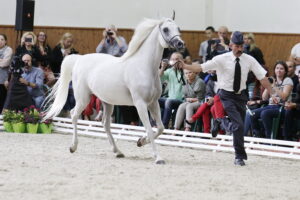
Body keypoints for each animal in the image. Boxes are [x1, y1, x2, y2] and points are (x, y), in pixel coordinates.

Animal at [44, 16, 185, 164]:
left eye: (178, 28)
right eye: (166, 29)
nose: (180, 44)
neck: (144, 67)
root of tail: (79, 59)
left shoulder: (153, 102)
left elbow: (161, 128)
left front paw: (140, 141)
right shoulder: (140, 104)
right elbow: (150, 129)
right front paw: (158, 158)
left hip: (107, 102)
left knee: (105, 124)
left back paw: (118, 152)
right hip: (83, 98)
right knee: (74, 115)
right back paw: (73, 147)